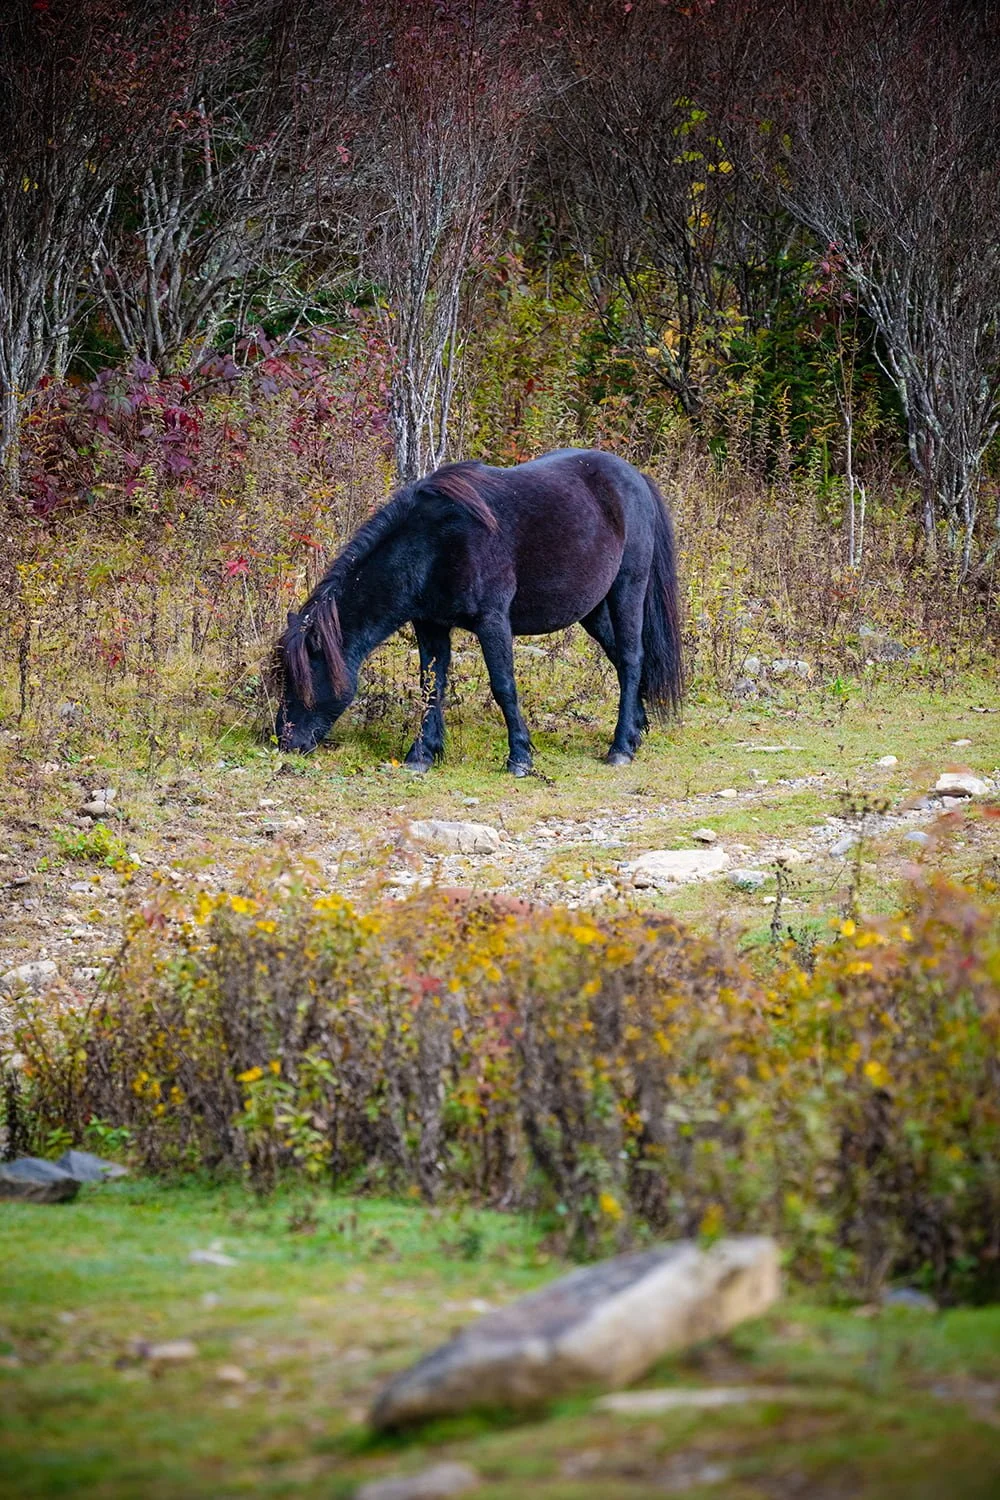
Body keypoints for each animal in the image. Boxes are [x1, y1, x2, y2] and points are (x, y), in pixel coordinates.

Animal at [272, 447, 683, 773]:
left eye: (304, 678)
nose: (285, 741)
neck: (434, 543)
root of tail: (635, 477)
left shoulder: (492, 622)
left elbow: (503, 686)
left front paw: (520, 758)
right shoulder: (430, 624)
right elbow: (431, 686)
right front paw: (421, 754)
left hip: (627, 589)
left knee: (630, 657)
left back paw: (620, 747)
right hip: (592, 610)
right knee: (620, 658)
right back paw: (636, 729)